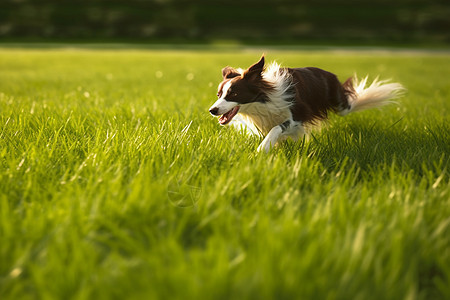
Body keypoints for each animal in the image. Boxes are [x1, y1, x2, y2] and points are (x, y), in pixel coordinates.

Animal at [210, 54, 404, 151]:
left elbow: (278, 128)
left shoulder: (298, 113)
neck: (263, 100)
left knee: (351, 103)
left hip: (340, 104)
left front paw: (263, 148)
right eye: (219, 94)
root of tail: (328, 73)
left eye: (234, 94)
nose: (212, 110)